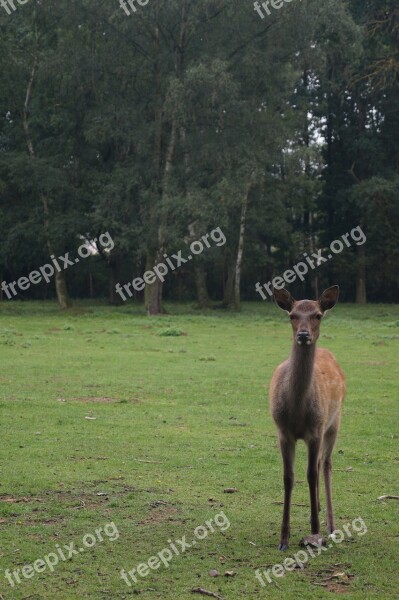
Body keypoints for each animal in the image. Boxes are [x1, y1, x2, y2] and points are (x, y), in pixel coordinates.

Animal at [268, 284, 346, 548]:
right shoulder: (282, 432)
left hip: (334, 422)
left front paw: (314, 532)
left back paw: (330, 525)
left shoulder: (316, 431)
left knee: (326, 464)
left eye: (318, 315)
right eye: (292, 315)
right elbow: (288, 477)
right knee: (321, 462)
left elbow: (311, 475)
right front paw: (283, 538)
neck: (298, 412)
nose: (303, 335)